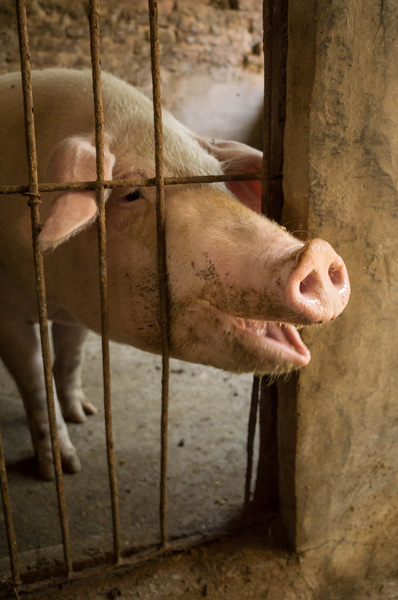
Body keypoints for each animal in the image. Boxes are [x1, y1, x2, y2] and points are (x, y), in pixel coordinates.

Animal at [0, 69, 350, 478]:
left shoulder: (78, 310)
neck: (56, 297)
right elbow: (36, 386)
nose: (316, 254)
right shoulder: (8, 313)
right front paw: (65, 469)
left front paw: (83, 414)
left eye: (217, 178)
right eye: (131, 193)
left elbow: (71, 356)